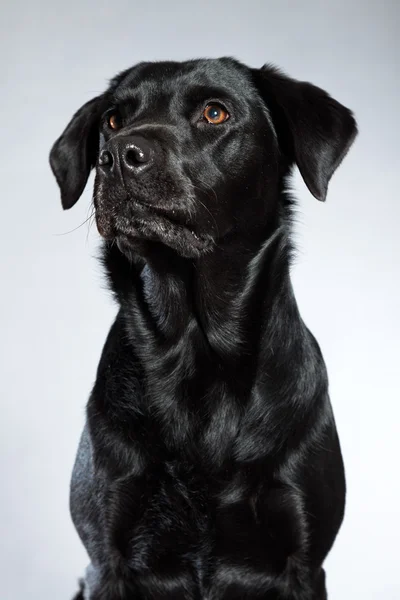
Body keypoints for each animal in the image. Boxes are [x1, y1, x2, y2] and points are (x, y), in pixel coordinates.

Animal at [49, 57, 356, 600]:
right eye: (113, 119)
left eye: (215, 113)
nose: (119, 155)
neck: (195, 346)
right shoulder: (107, 560)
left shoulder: (303, 561)